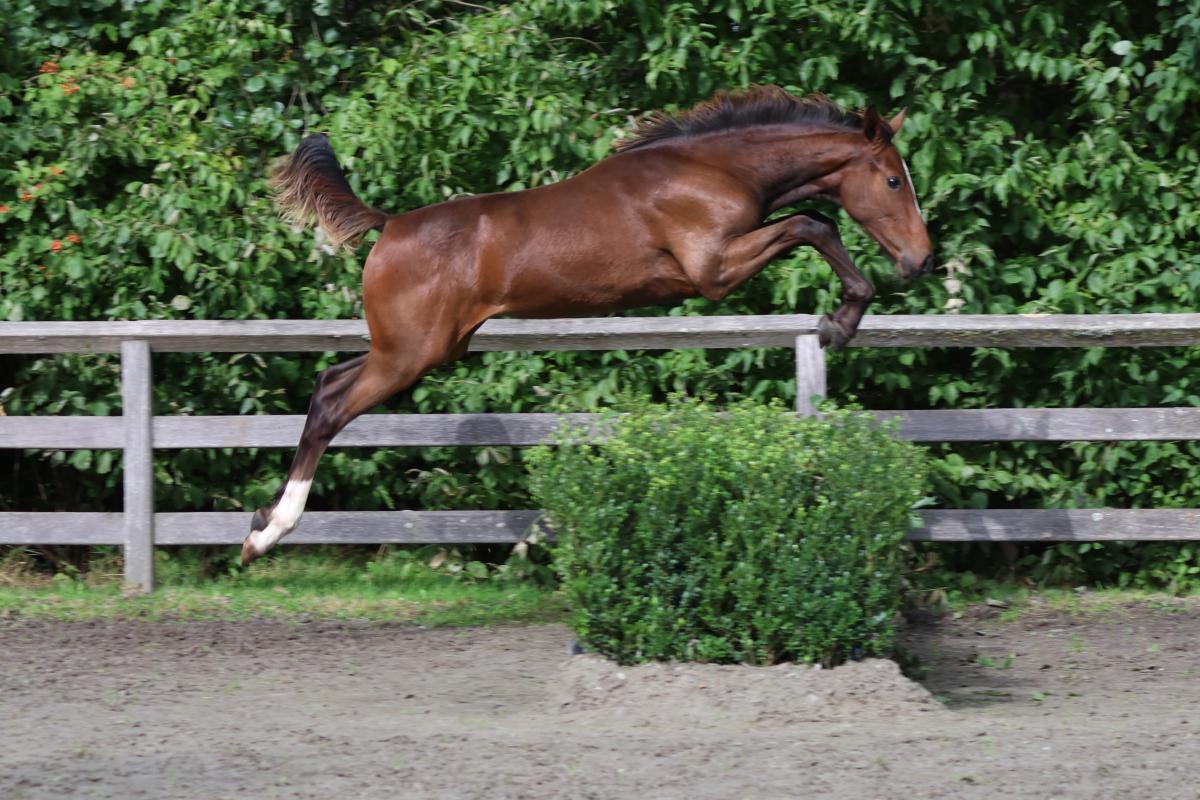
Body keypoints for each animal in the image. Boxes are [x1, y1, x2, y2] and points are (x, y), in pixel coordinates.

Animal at [241, 85, 933, 565]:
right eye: (892, 180)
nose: (920, 260)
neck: (713, 170)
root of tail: (389, 225)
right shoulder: (712, 269)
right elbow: (814, 224)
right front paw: (841, 320)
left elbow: (815, 223)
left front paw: (843, 316)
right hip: (410, 354)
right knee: (333, 405)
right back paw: (269, 534)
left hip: (422, 348)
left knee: (328, 383)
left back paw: (260, 526)